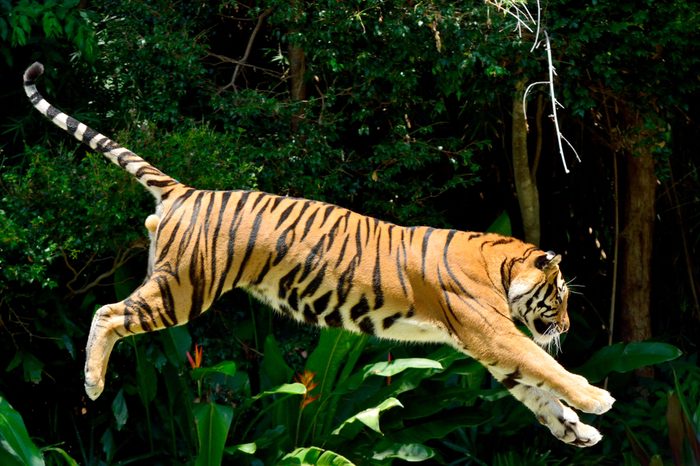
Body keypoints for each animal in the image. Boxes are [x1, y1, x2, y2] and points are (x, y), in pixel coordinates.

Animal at [21, 62, 612, 448]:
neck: (499, 265)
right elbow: (546, 367)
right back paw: (92, 384)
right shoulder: (493, 334)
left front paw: (577, 430)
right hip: (182, 290)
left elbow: (538, 394)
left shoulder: (485, 348)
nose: (565, 326)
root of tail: (187, 191)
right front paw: (595, 400)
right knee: (107, 312)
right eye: (559, 296)